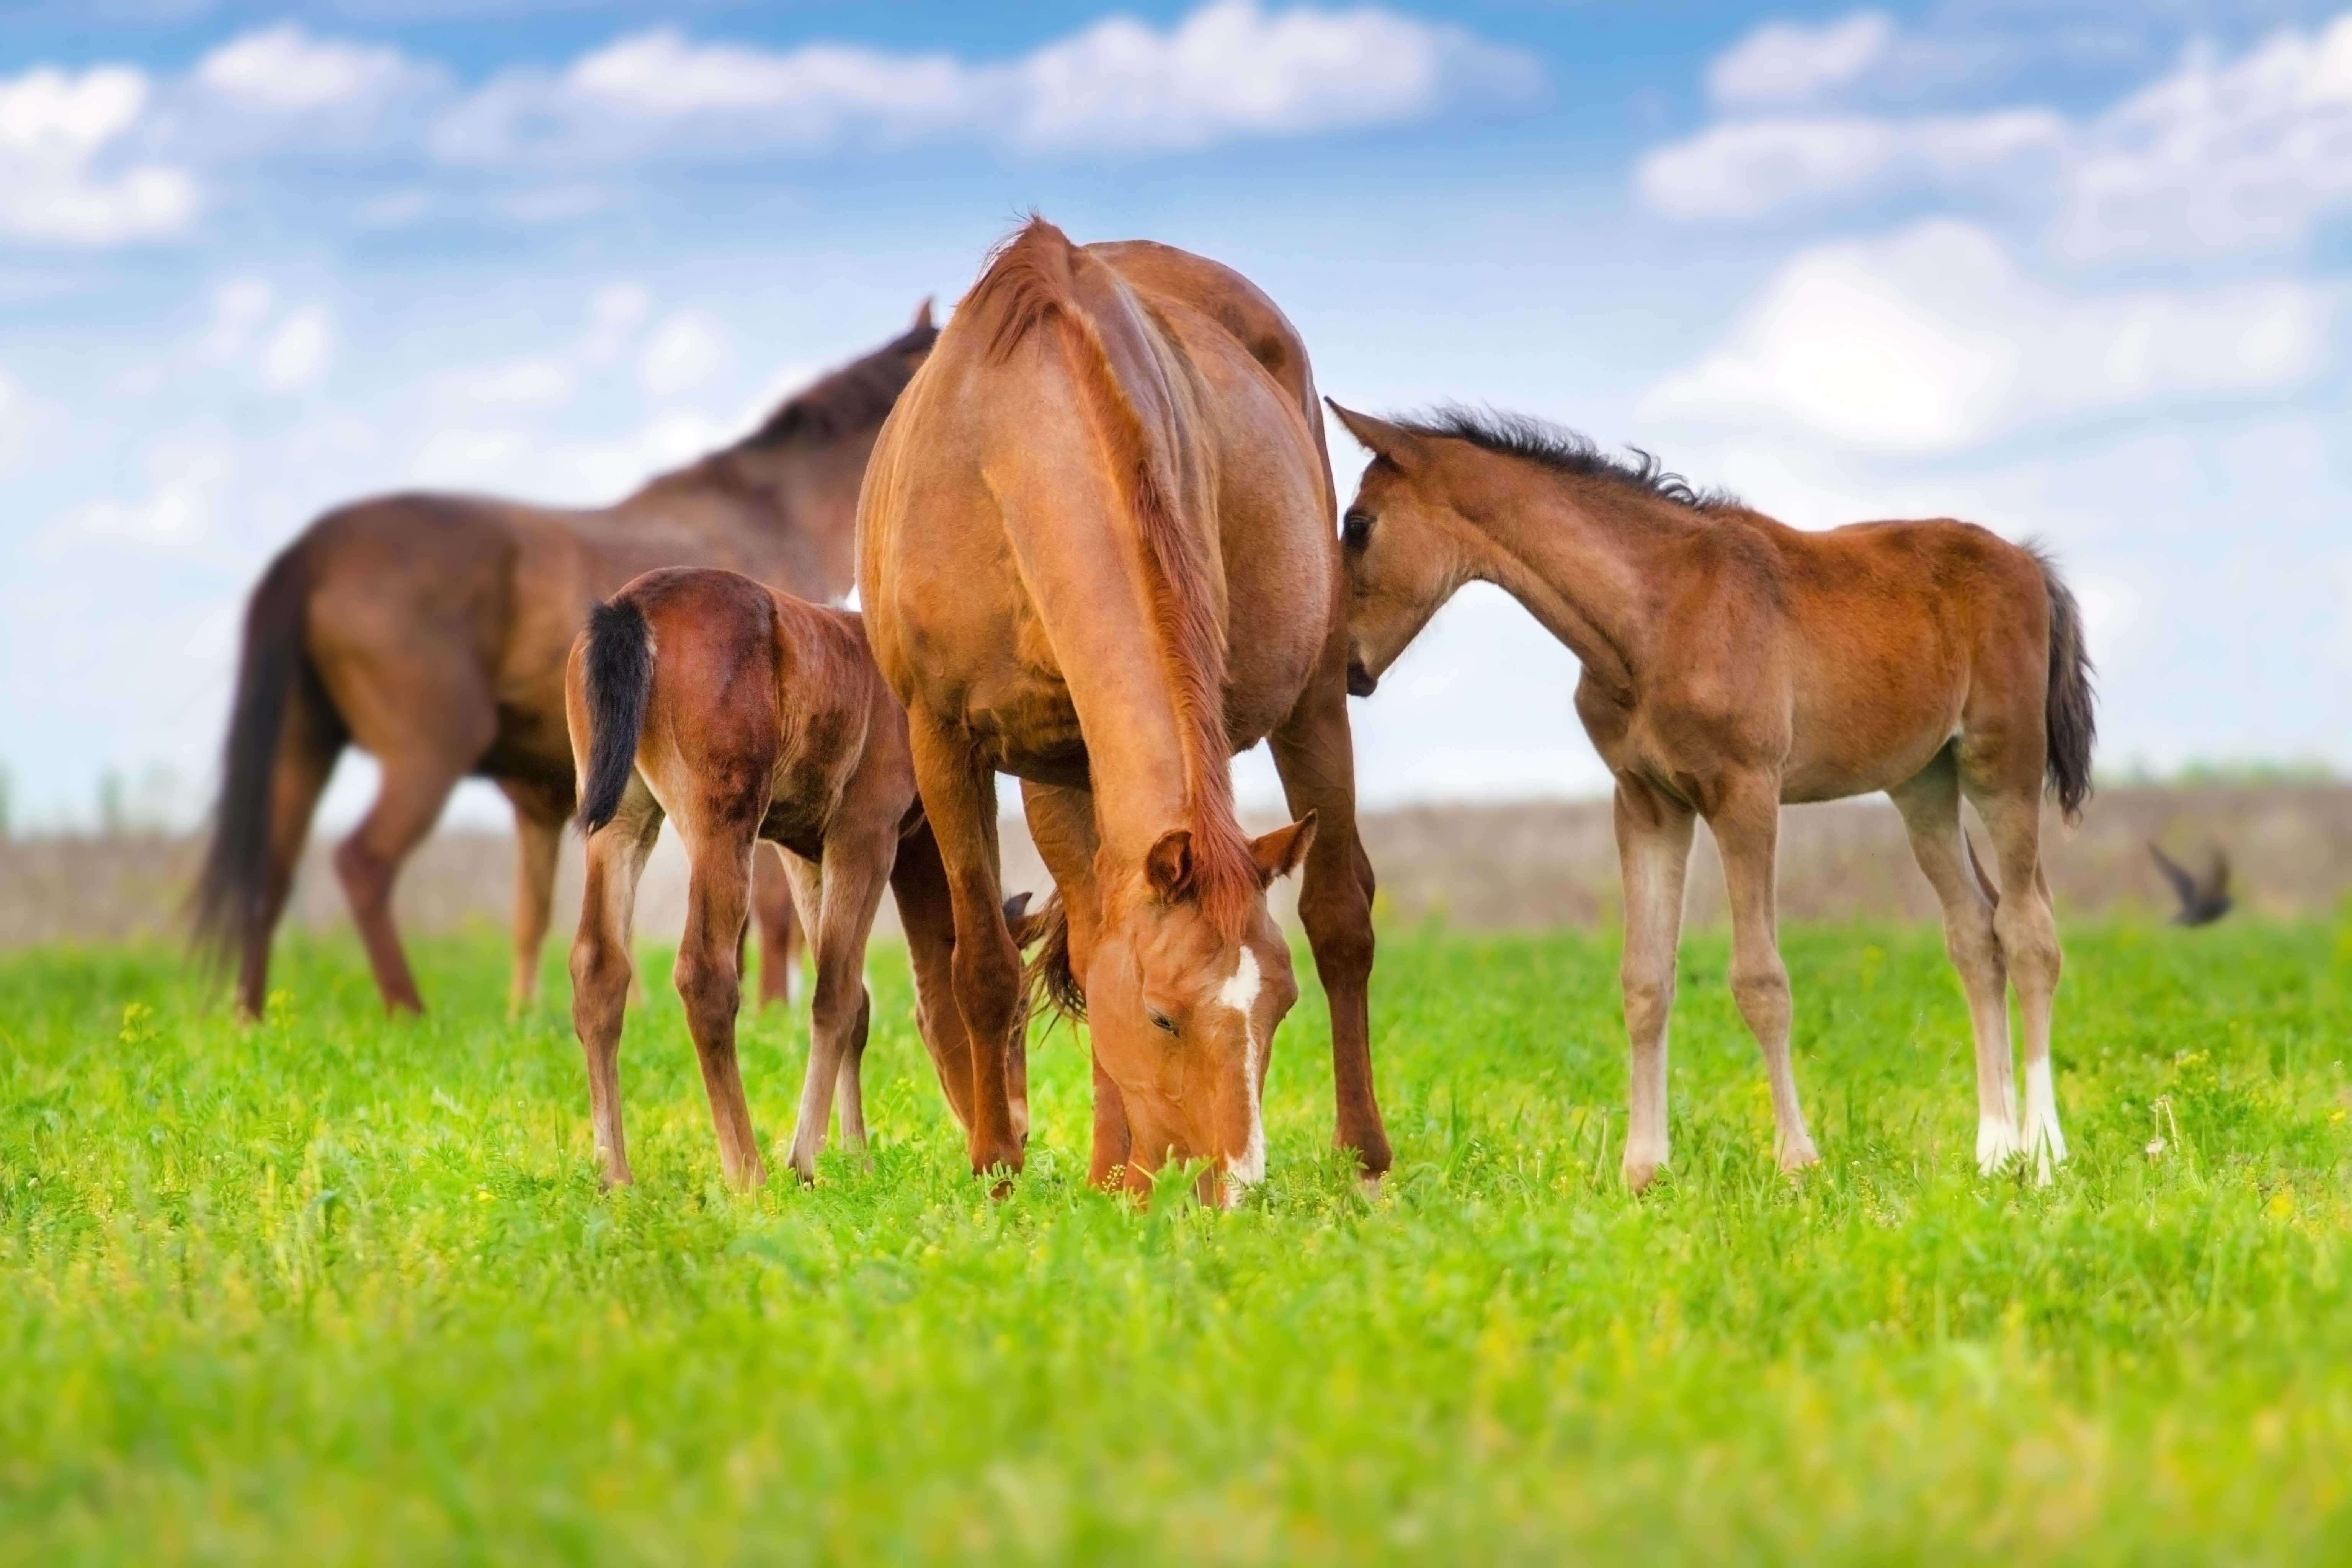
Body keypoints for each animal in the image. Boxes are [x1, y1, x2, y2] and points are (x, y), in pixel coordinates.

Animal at [190, 310, 936, 1020]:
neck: (774, 516)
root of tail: (314, 548)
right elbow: (775, 909)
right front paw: (773, 1014)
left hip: (305, 743)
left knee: (271, 875)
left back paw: (252, 1015)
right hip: (429, 753)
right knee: (363, 863)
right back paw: (408, 1011)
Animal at [564, 564, 978, 1189]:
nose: (1012, 1132)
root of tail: (631, 608)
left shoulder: (804, 854)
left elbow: (856, 1002)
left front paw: (856, 1158)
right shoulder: (866, 836)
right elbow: (836, 993)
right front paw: (807, 1160)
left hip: (620, 821)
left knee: (599, 967)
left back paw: (616, 1174)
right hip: (722, 821)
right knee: (706, 974)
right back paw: (748, 1171)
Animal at [861, 221, 1383, 1204]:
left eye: (1277, 1007)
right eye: (1163, 1016)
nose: (1231, 1189)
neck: (1015, 439)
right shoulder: (946, 740)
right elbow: (988, 966)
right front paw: (1000, 1174)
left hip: (1315, 699)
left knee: (1341, 916)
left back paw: (1360, 1160)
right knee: (1089, 921)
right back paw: (1116, 1169)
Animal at [1326, 409, 2098, 1189]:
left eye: (1358, 524)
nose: (1345, 667)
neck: (1656, 615)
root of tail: (2026, 562)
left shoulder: (1745, 794)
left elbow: (1761, 980)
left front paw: (1796, 1161)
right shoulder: (1646, 802)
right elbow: (1645, 981)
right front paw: (1642, 1169)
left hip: (2001, 764)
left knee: (2028, 931)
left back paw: (2043, 1153)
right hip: (1923, 784)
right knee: (1974, 931)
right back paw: (1993, 1150)